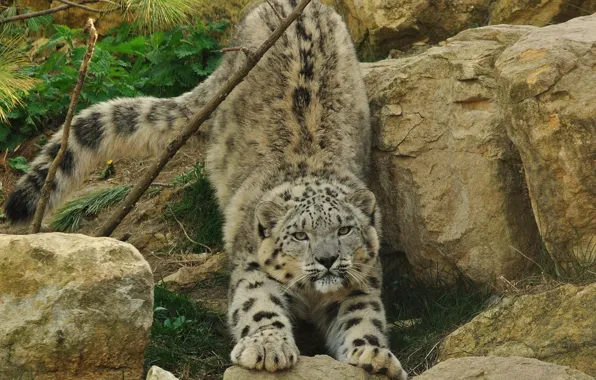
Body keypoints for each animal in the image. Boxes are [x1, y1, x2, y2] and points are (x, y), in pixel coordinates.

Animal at [3, 0, 406, 378]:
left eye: (345, 229)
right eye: (299, 235)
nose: (327, 260)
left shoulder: (360, 282)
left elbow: (363, 317)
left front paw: (373, 355)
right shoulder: (252, 267)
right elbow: (258, 305)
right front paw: (267, 347)